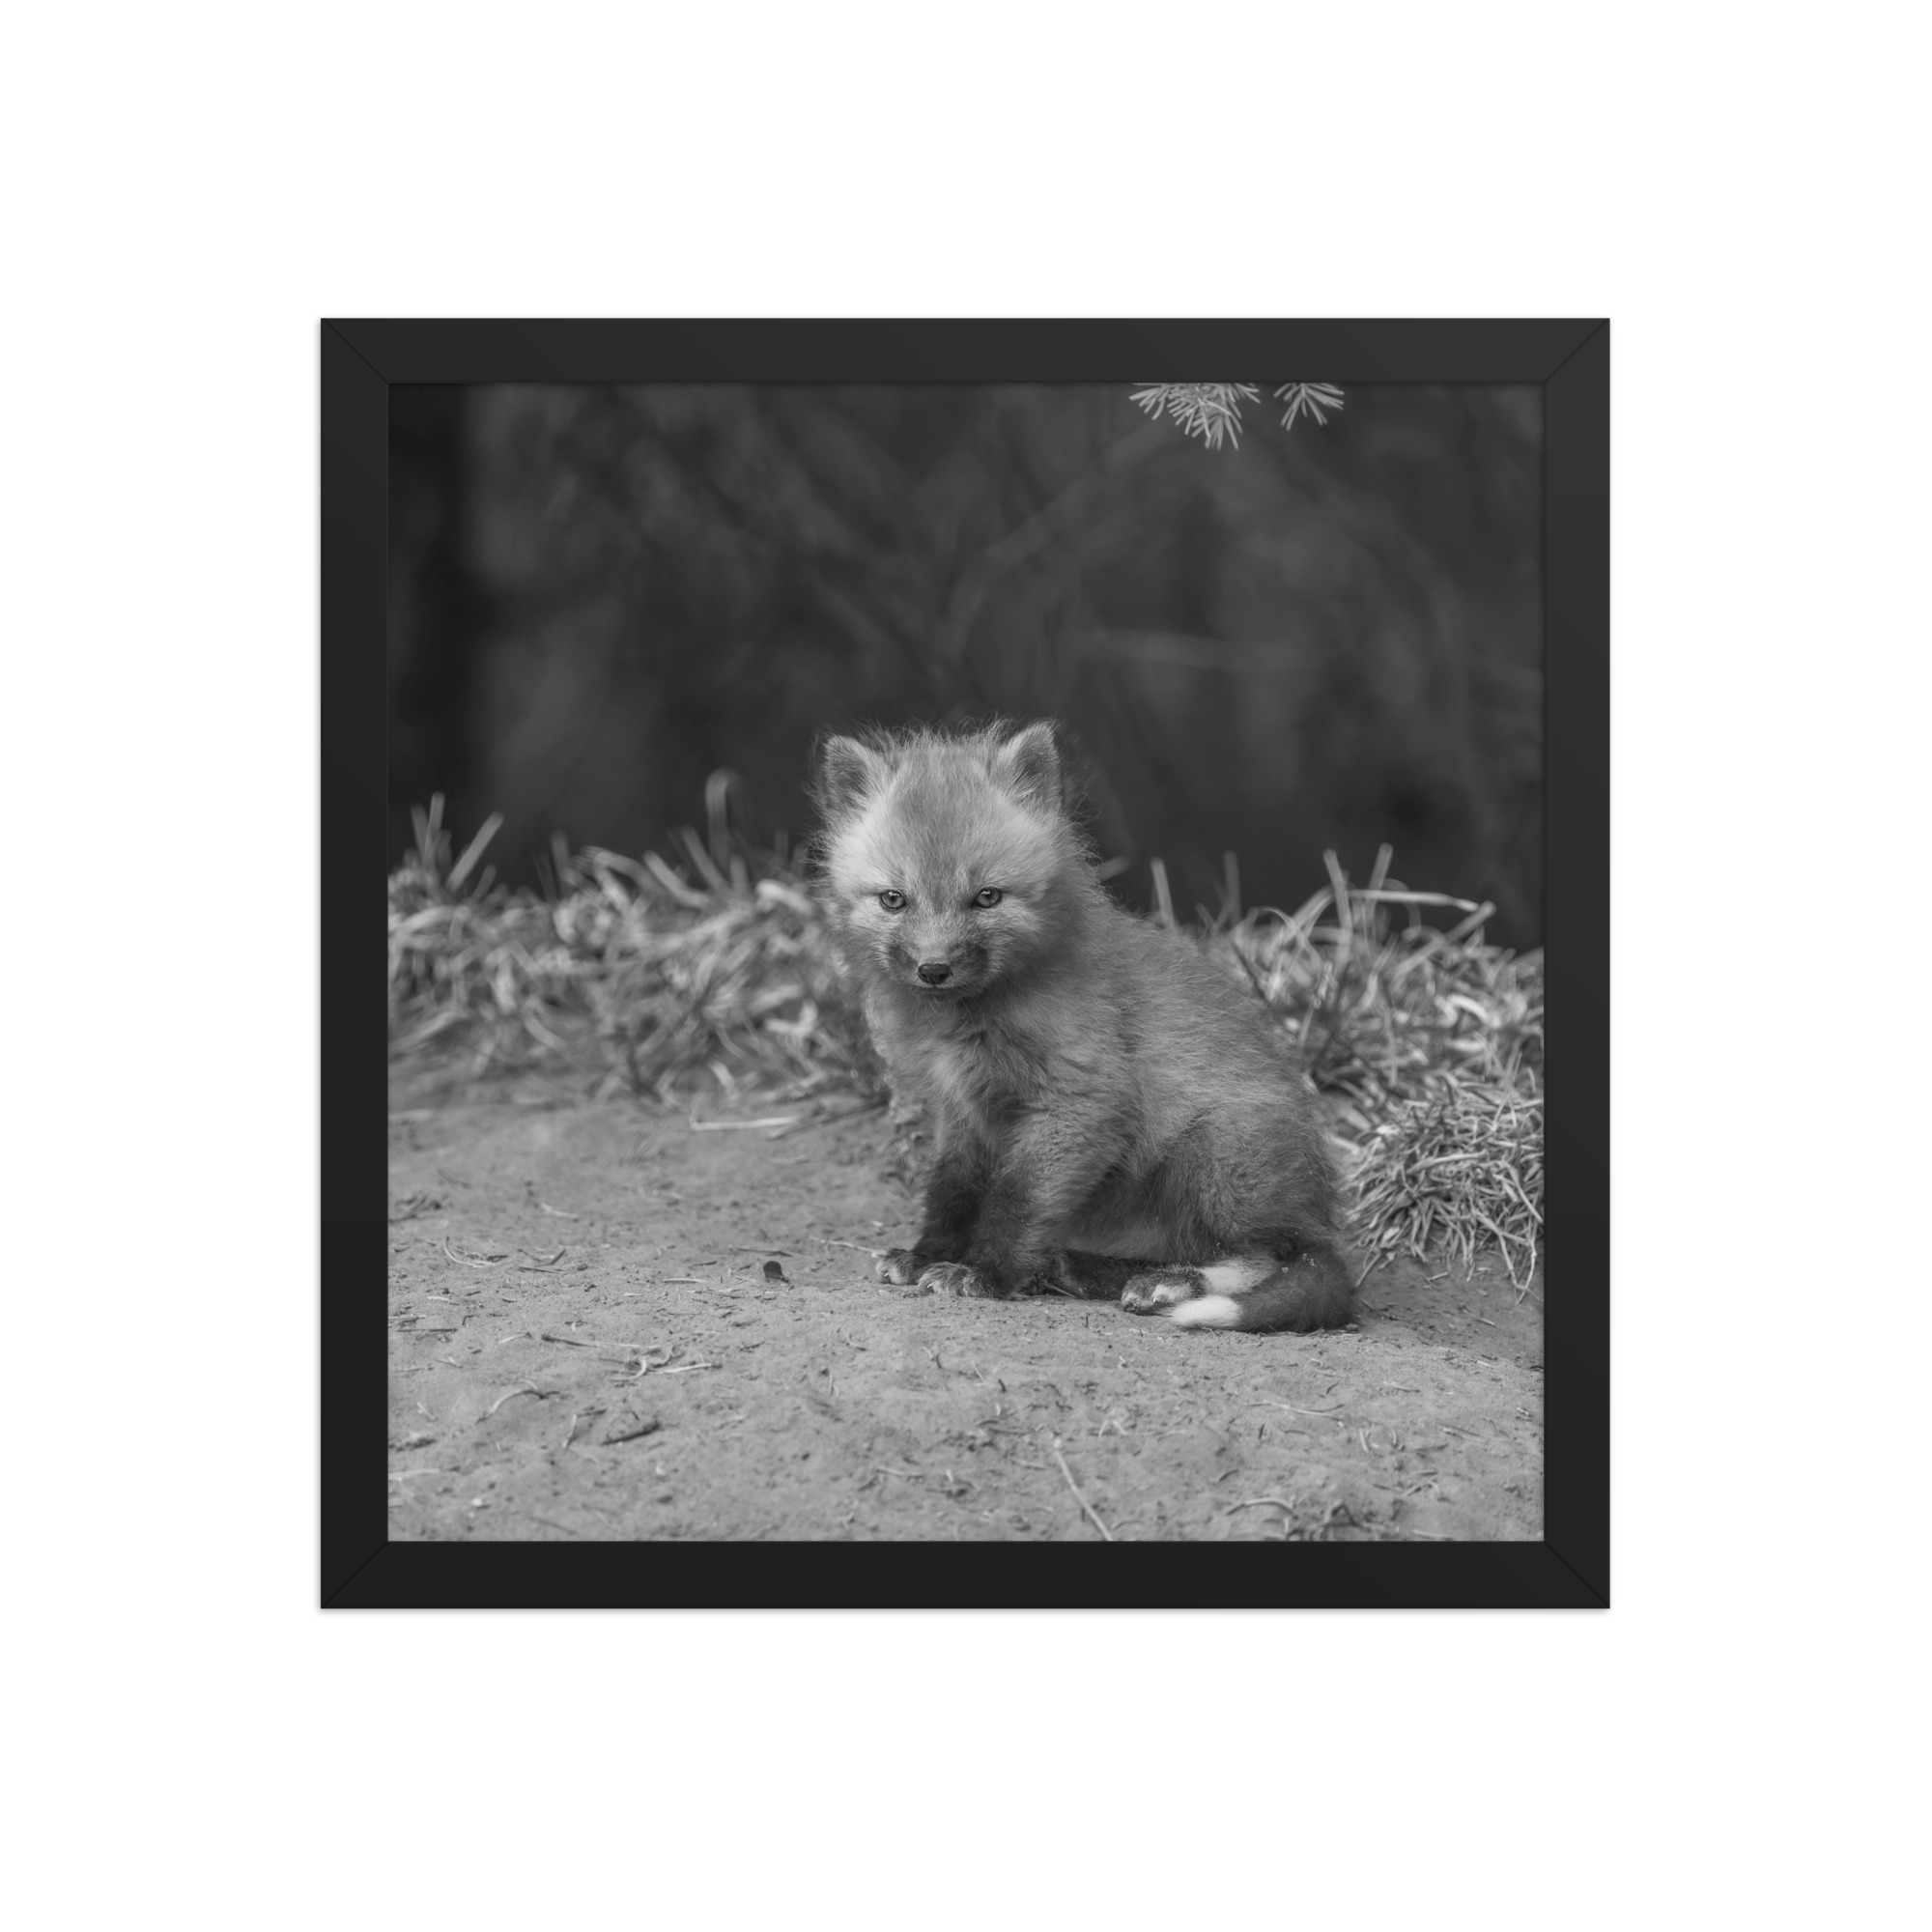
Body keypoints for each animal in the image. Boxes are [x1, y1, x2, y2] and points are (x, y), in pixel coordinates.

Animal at [811, 718, 1353, 1333]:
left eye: (987, 897)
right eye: (893, 900)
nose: (934, 969)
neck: (972, 1022)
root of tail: (1319, 1211)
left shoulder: (1080, 1102)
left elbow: (1016, 1200)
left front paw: (985, 1273)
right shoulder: (963, 1111)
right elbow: (952, 1192)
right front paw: (929, 1255)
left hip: (1214, 1155)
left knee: (1274, 1256)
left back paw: (1170, 1284)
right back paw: (1084, 1269)